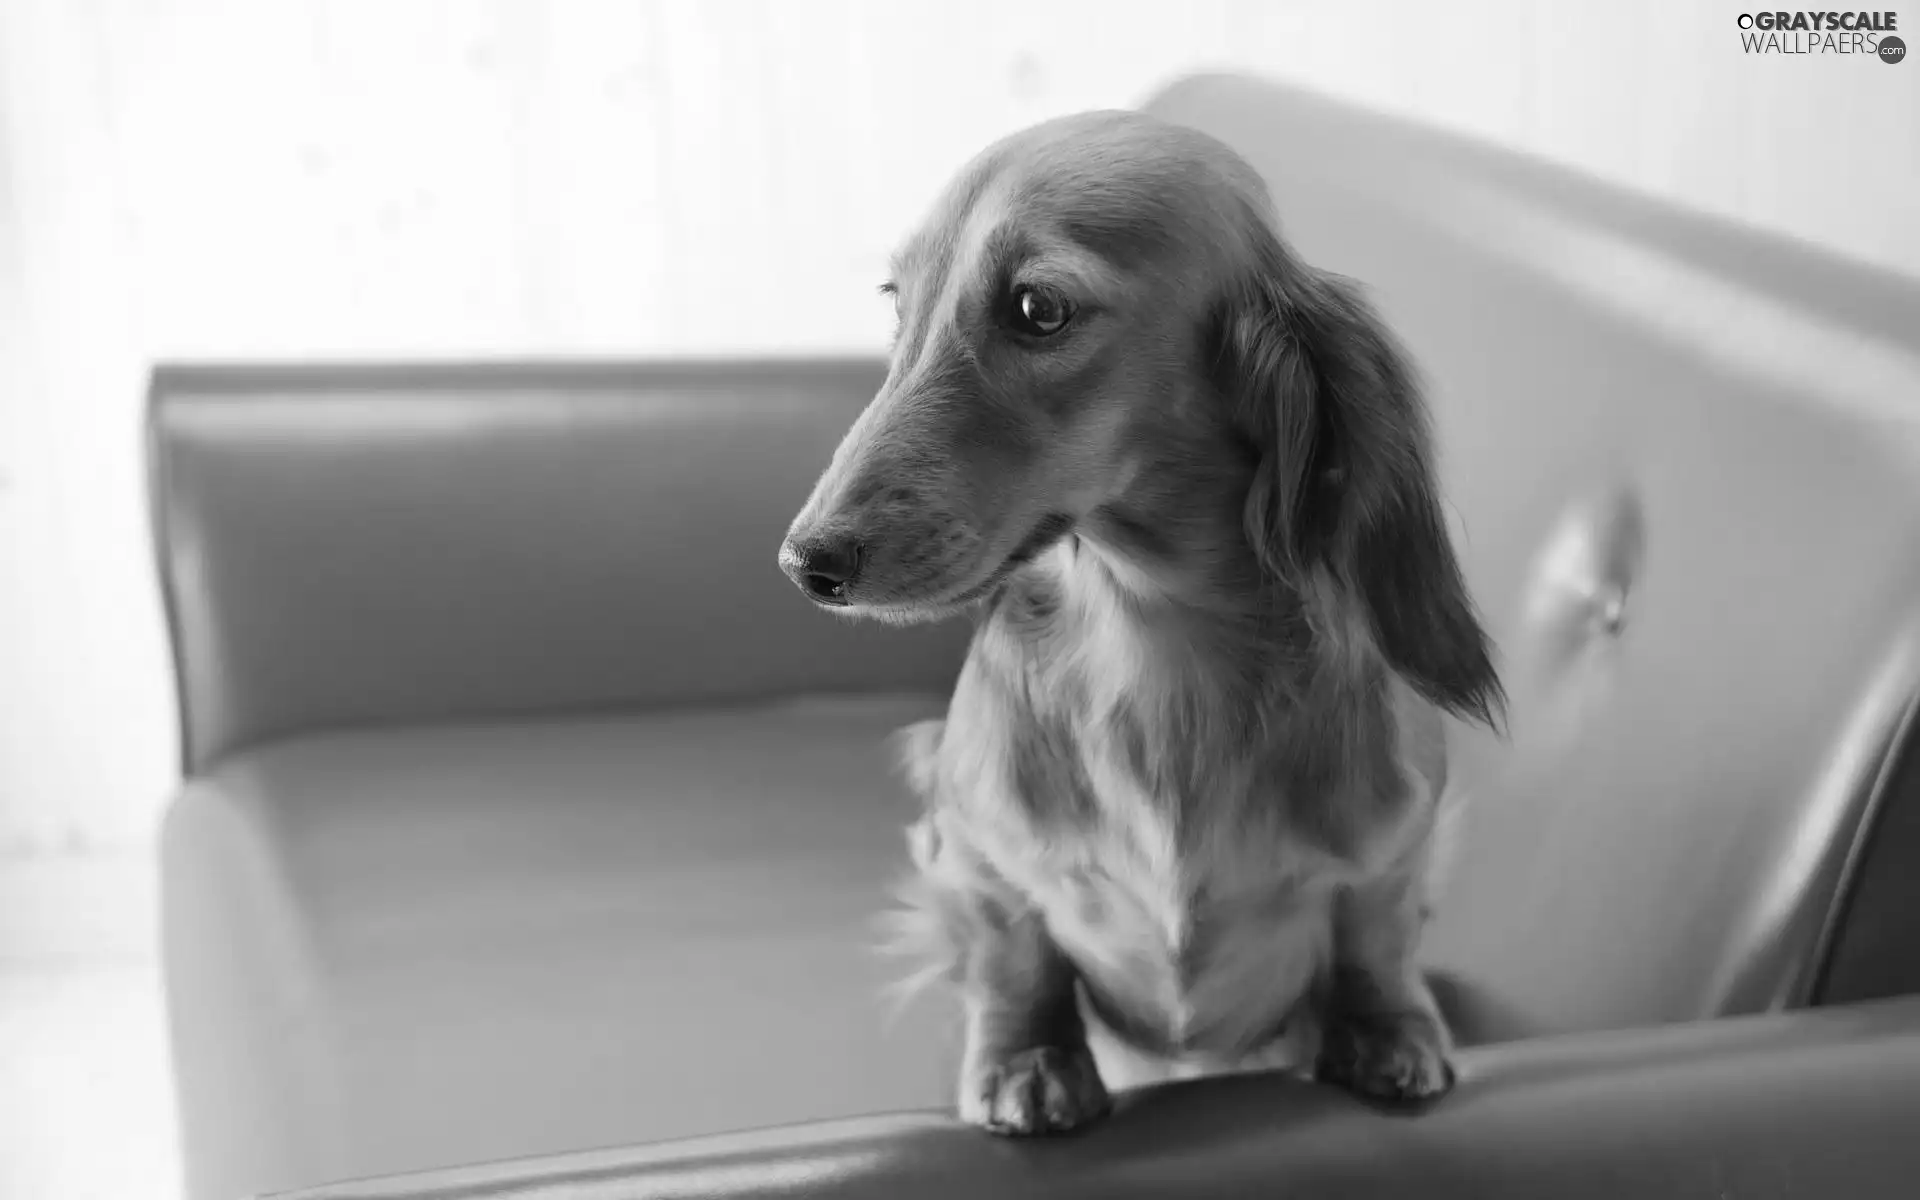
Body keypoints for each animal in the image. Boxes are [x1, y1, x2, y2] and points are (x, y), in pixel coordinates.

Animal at [779, 109, 1497, 1128]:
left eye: (1038, 309)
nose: (808, 563)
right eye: (896, 301)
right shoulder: (971, 856)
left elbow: (1377, 936)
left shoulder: (1398, 848)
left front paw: (1387, 1030)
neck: (1151, 639)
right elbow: (1014, 962)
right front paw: (1030, 1059)